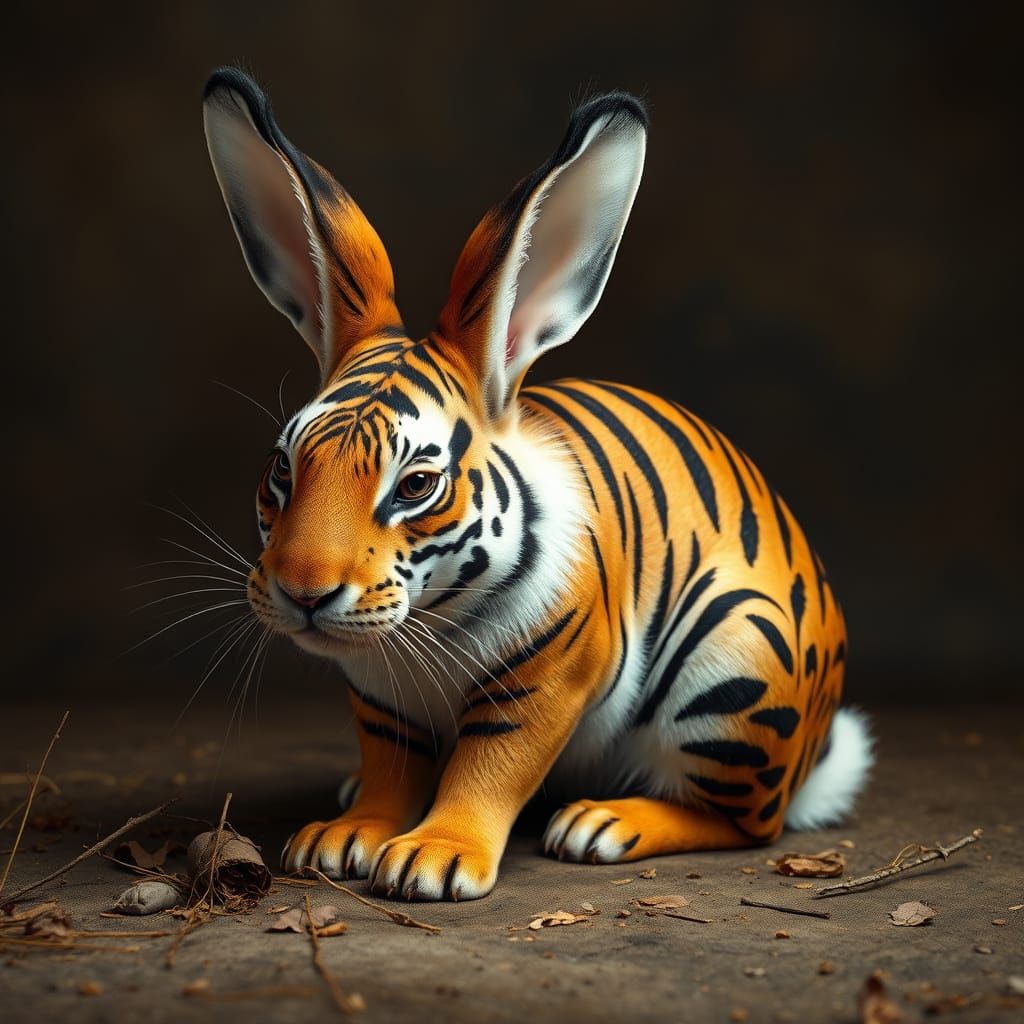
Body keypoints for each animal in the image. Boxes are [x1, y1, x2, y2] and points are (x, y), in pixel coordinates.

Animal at [202, 67, 872, 902]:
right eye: (283, 469)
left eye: (416, 484)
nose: (302, 592)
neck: (424, 627)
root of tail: (811, 755)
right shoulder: (381, 703)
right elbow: (391, 769)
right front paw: (348, 835)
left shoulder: (544, 686)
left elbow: (490, 768)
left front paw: (435, 854)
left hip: (737, 667)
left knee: (747, 822)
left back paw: (604, 823)